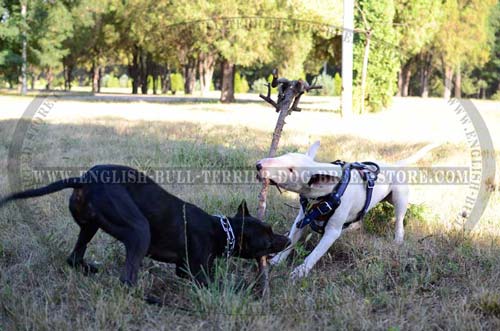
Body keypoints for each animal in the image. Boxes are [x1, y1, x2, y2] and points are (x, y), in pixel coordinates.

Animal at [0, 165, 290, 286]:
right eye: (267, 234)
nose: (287, 239)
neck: (221, 229)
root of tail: (83, 179)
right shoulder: (195, 272)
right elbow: (219, 283)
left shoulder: (186, 269)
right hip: (139, 230)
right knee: (126, 280)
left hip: (89, 227)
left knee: (74, 257)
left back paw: (90, 269)